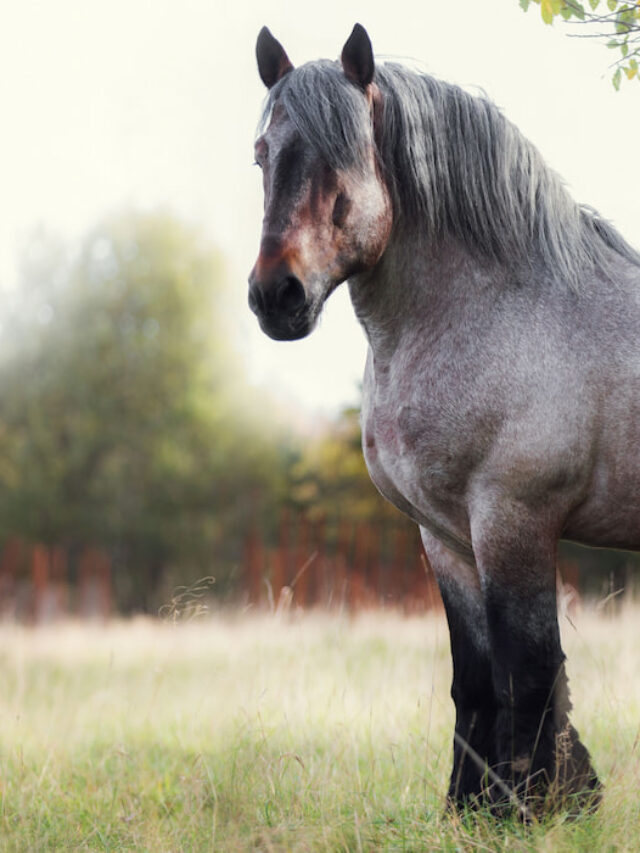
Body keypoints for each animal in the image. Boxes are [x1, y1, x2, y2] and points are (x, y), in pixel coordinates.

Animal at [248, 23, 640, 815]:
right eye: (261, 153)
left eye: (344, 156)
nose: (277, 295)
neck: (500, 310)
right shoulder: (446, 535)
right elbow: (476, 679)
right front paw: (471, 812)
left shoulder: (513, 522)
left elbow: (529, 669)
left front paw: (533, 810)